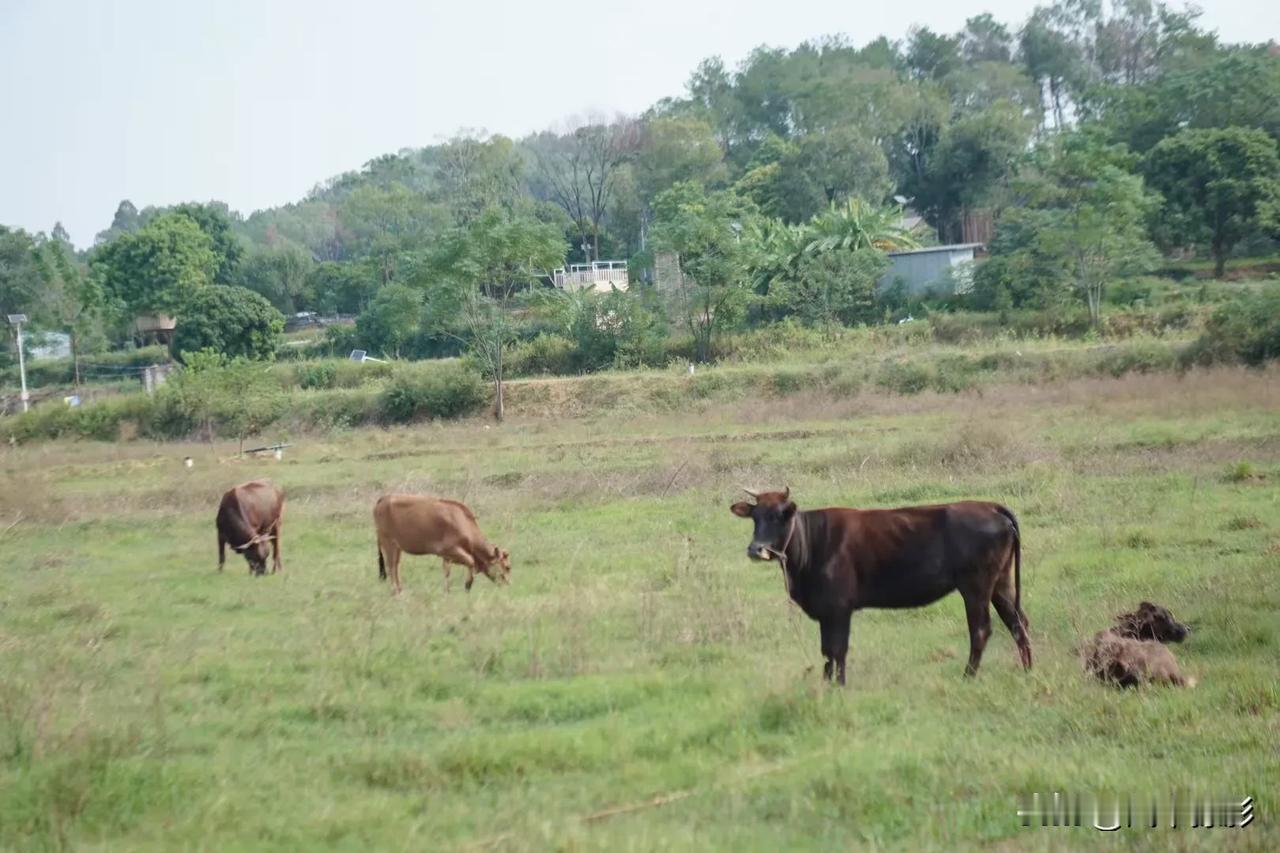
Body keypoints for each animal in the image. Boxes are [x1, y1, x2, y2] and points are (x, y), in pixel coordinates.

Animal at [371, 491, 509, 591]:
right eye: (508, 567)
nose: (508, 584)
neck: (463, 522)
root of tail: (384, 498)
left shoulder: (447, 556)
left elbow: (446, 572)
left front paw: (447, 590)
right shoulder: (449, 550)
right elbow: (471, 561)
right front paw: (468, 584)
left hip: (397, 547)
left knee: (395, 567)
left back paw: (400, 589)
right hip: (388, 543)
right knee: (391, 567)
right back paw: (396, 591)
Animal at [732, 484, 1029, 676]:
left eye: (780, 517)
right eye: (755, 517)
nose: (756, 549)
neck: (813, 543)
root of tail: (989, 506)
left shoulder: (838, 609)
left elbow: (837, 650)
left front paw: (838, 687)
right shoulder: (827, 612)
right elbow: (827, 652)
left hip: (976, 586)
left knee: (981, 630)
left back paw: (968, 676)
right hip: (1001, 583)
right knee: (1018, 623)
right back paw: (1027, 671)